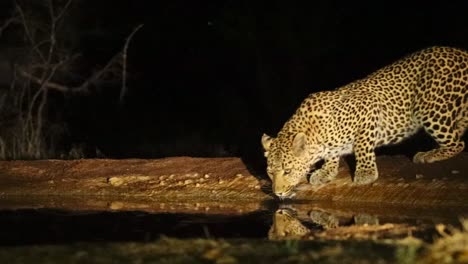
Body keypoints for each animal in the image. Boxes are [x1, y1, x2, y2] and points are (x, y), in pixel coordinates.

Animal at [262, 46, 468, 198]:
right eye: (270, 172)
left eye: (287, 171)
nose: (278, 193)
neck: (316, 132)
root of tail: (461, 53)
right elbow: (332, 155)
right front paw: (326, 172)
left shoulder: (369, 108)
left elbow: (362, 146)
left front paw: (365, 173)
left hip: (432, 110)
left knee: (458, 143)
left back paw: (430, 154)